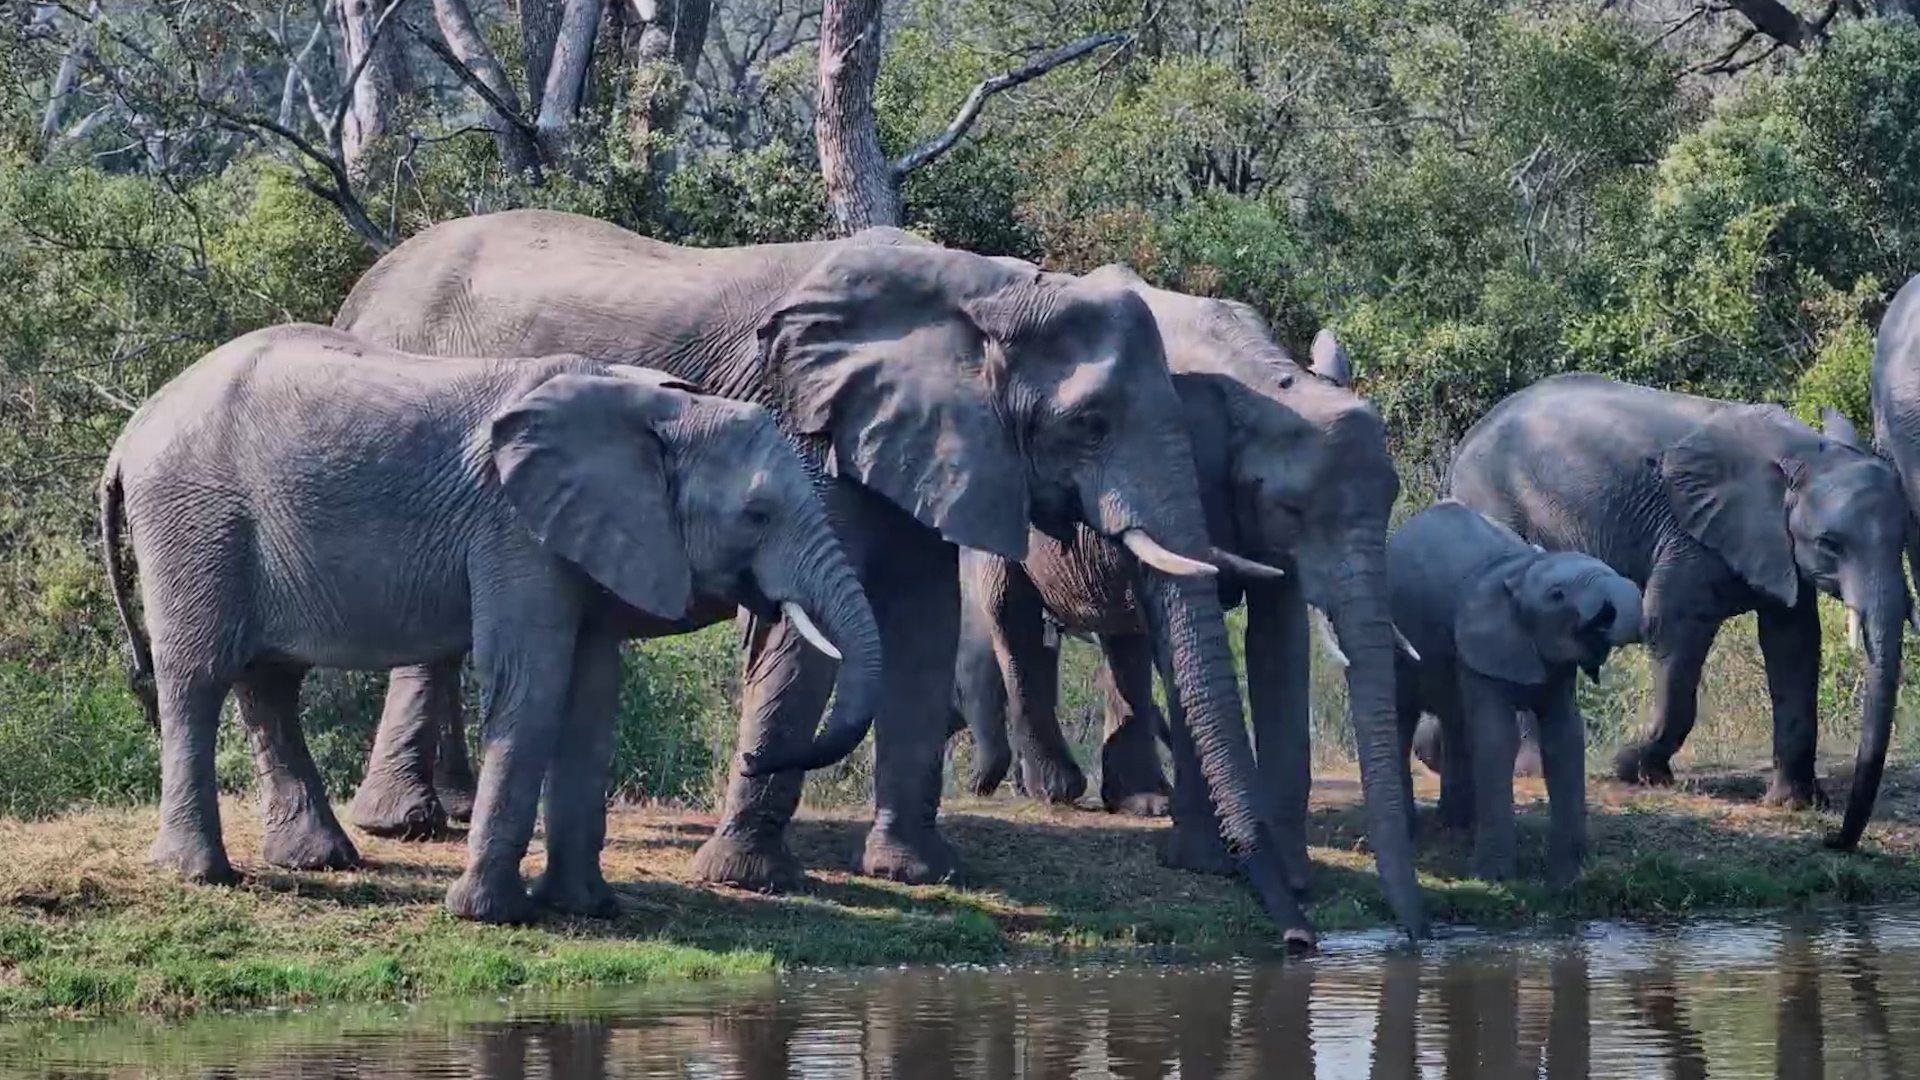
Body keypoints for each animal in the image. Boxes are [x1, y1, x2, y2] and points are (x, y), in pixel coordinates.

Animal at [97, 324, 879, 922]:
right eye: (758, 515)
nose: (747, 757)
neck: (659, 412)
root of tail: (131, 430)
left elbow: (591, 699)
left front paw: (588, 909)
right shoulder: (515, 530)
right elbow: (531, 685)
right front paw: (489, 916)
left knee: (270, 682)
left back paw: (320, 860)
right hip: (193, 519)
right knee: (198, 678)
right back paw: (200, 874)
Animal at [295, 209, 1315, 942]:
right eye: (1092, 423)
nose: (1299, 938)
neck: (986, 290)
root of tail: (360, 289)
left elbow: (918, 622)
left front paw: (918, 871)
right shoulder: (807, 430)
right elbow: (814, 629)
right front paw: (754, 879)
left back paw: (440, 811)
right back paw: (404, 827)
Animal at [948, 262, 1427, 941]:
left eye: (1392, 494)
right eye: (1292, 509)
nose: (1418, 935)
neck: (1264, 382)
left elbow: (1277, 644)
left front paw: (1292, 875)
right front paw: (1209, 866)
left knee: (1123, 641)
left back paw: (1143, 802)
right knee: (1010, 615)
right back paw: (1054, 791)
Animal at [1385, 499, 1642, 882]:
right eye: (1557, 595)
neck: (1518, 572)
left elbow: (1565, 736)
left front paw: (1568, 873)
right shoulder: (1481, 645)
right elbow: (1498, 738)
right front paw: (1493, 877)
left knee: (1455, 720)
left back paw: (1457, 827)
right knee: (1402, 715)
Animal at [1449, 372, 1914, 850]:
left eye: (1904, 538)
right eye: (1829, 544)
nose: (1833, 841)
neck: (1802, 452)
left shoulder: (1776, 549)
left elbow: (1794, 644)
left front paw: (1794, 803)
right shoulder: (1691, 535)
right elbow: (1671, 625)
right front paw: (1634, 770)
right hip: (1497, 507)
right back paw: (1529, 770)